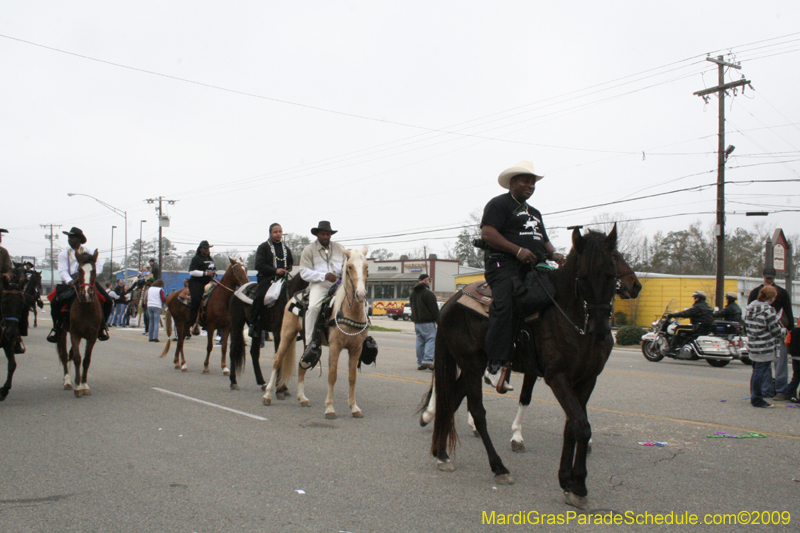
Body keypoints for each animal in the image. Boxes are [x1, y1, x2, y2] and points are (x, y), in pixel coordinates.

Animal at [57, 251, 104, 396]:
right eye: (79, 270)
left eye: (94, 270)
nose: (86, 295)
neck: (86, 307)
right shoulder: (75, 333)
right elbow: (77, 358)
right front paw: (78, 387)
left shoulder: (92, 335)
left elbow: (86, 360)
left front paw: (84, 384)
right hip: (62, 332)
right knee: (64, 355)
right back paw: (67, 381)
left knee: (70, 354)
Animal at [266, 247, 372, 418]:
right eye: (349, 267)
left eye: (366, 267)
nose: (361, 294)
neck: (350, 312)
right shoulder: (335, 347)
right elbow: (332, 376)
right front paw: (329, 408)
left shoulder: (356, 348)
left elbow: (352, 377)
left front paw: (354, 407)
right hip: (286, 334)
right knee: (277, 360)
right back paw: (268, 395)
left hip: (306, 340)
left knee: (302, 365)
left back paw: (302, 398)